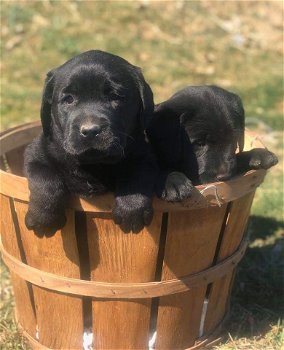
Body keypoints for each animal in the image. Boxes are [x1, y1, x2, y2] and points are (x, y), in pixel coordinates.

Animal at [24, 50, 158, 235]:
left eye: (114, 97)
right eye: (69, 99)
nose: (90, 131)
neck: (94, 164)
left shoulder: (143, 155)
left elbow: (136, 176)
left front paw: (131, 210)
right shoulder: (36, 153)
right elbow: (45, 179)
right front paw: (43, 219)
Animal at [146, 85, 278, 201]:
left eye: (233, 139)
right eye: (199, 143)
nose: (224, 176)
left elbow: (236, 158)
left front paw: (258, 154)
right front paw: (173, 181)